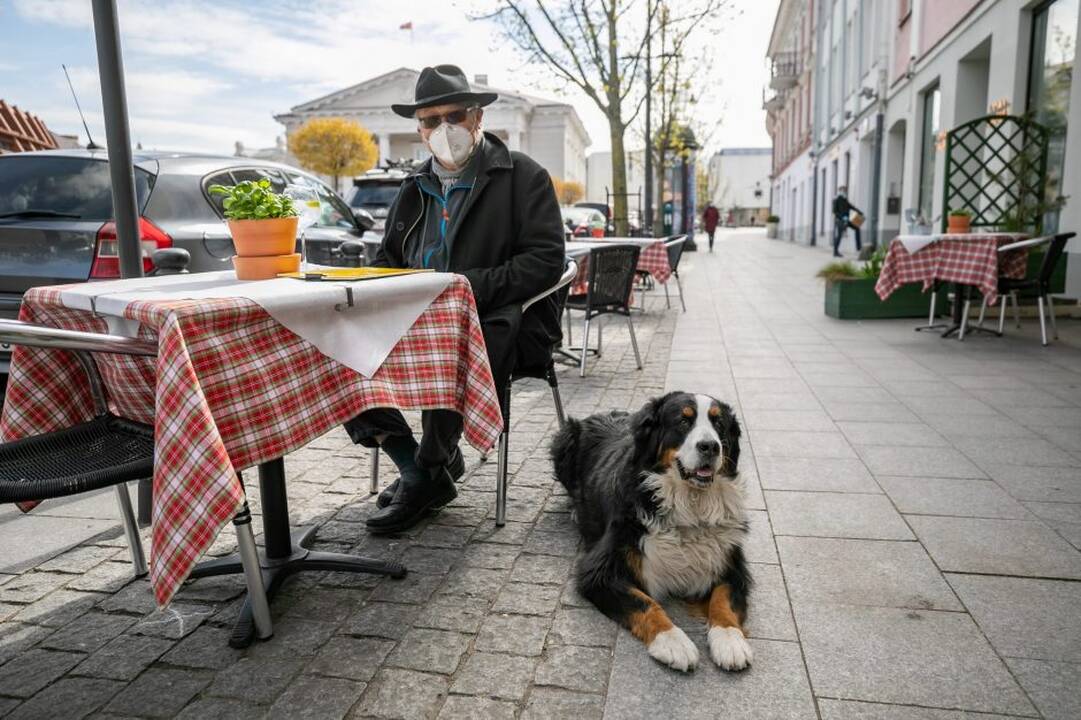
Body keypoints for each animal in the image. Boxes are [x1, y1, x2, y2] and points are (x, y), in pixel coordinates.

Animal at [553, 389, 748, 670]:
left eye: (718, 423)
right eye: (683, 421)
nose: (711, 446)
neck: (690, 505)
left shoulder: (731, 560)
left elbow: (724, 598)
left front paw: (730, 640)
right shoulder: (598, 571)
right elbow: (645, 603)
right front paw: (673, 641)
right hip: (563, 440)